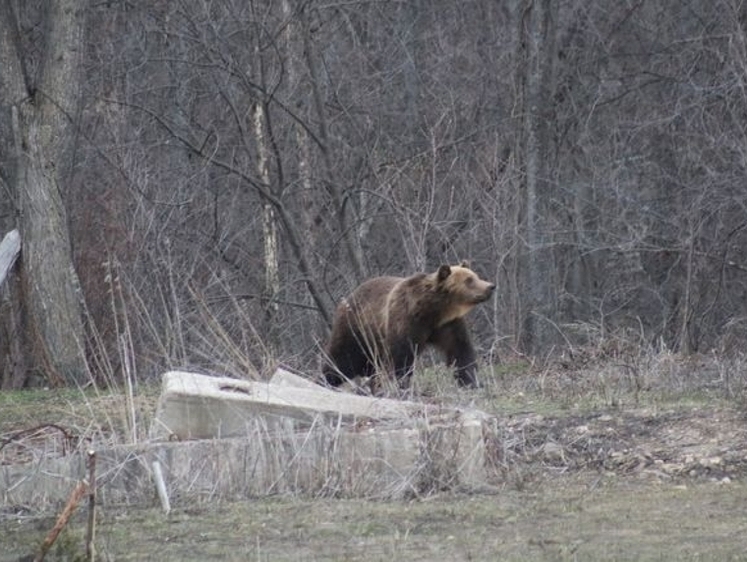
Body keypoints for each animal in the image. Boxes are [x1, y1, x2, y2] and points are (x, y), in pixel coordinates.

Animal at [322, 262, 494, 390]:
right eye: (469, 280)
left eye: (476, 276)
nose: (490, 286)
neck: (433, 311)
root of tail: (348, 297)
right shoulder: (406, 320)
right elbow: (400, 356)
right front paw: (398, 383)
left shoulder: (448, 325)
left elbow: (460, 350)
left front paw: (471, 381)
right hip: (356, 327)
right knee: (343, 356)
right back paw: (327, 379)